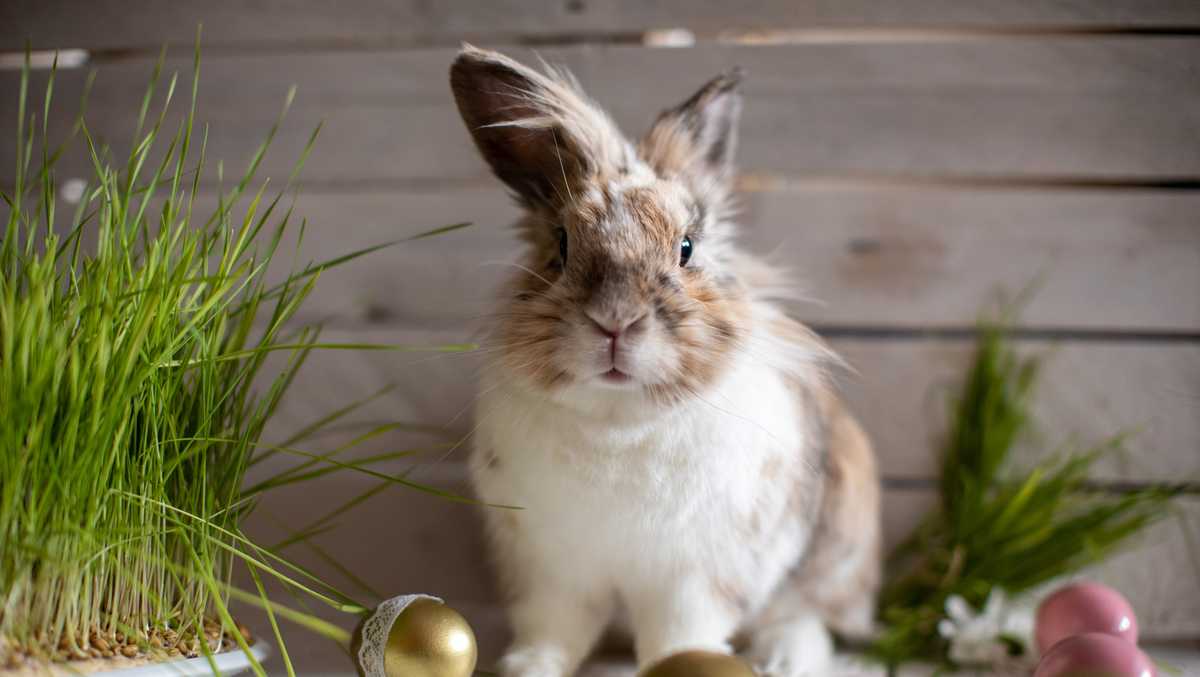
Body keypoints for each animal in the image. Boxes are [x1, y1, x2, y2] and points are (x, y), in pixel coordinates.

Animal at [449, 45, 881, 677]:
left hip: (836, 549)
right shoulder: (550, 569)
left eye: (687, 249)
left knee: (808, 614)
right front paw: (526, 668)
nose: (616, 321)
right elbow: (553, 628)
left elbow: (681, 634)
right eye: (562, 246)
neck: (617, 420)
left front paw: (687, 661)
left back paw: (785, 657)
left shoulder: (697, 577)